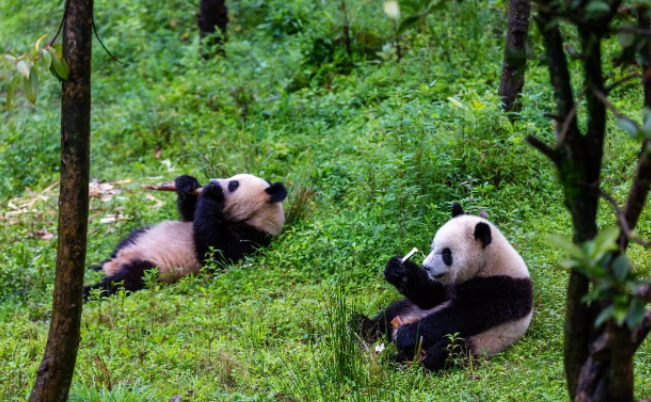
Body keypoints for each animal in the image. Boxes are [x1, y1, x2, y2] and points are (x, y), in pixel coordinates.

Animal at [83, 174, 286, 300]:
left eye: (233, 184)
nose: (212, 180)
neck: (258, 216)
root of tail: (115, 264)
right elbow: (191, 216)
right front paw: (188, 183)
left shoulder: (253, 237)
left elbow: (217, 249)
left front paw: (212, 192)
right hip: (141, 235)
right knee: (123, 245)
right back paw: (94, 267)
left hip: (153, 267)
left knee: (126, 280)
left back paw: (89, 290)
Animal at [360, 203, 532, 372]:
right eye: (433, 246)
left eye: (446, 254)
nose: (427, 267)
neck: (490, 262)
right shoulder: (449, 284)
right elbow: (430, 296)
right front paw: (398, 269)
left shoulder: (499, 290)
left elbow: (460, 316)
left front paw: (408, 335)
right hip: (408, 308)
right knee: (390, 313)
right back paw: (362, 325)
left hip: (482, 341)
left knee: (447, 351)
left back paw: (399, 359)